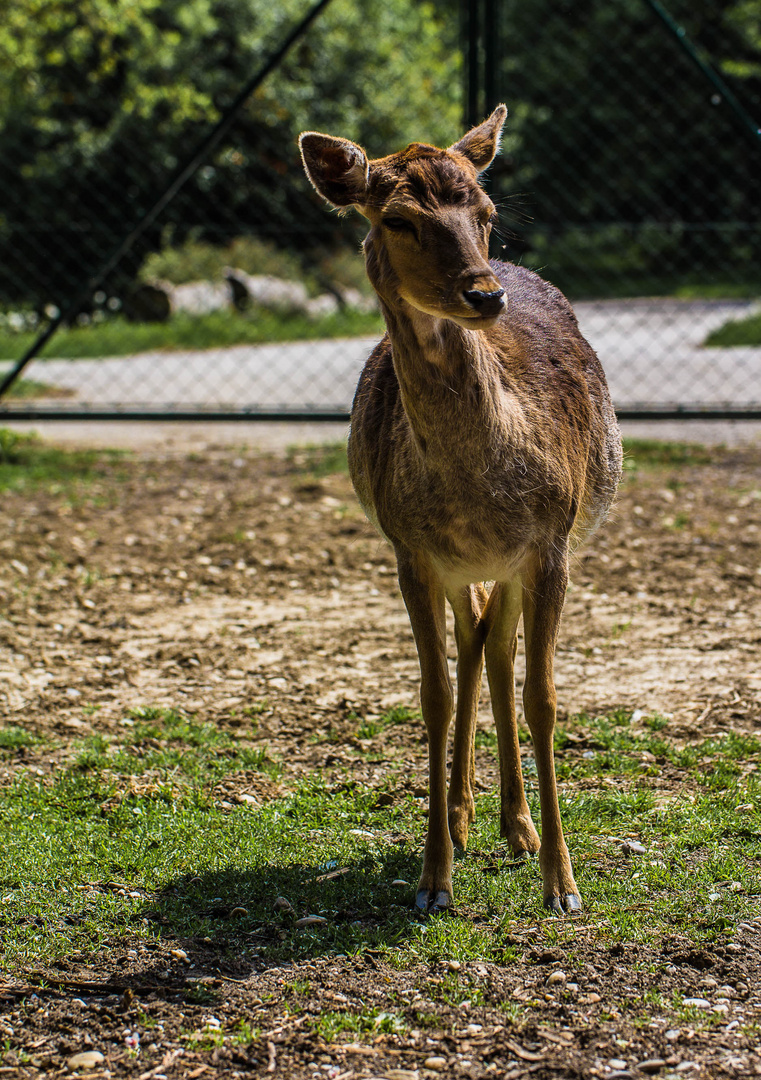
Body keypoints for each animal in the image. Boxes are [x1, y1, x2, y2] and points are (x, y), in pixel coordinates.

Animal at [297, 105, 621, 915]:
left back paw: (516, 826)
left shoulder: (548, 544)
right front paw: (432, 878)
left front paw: (563, 884)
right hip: (460, 567)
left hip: (513, 563)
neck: (480, 489)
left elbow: (543, 696)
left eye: (486, 212)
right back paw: (467, 816)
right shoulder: (410, 551)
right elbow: (433, 695)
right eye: (398, 220)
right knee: (475, 645)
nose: (484, 295)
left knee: (495, 651)